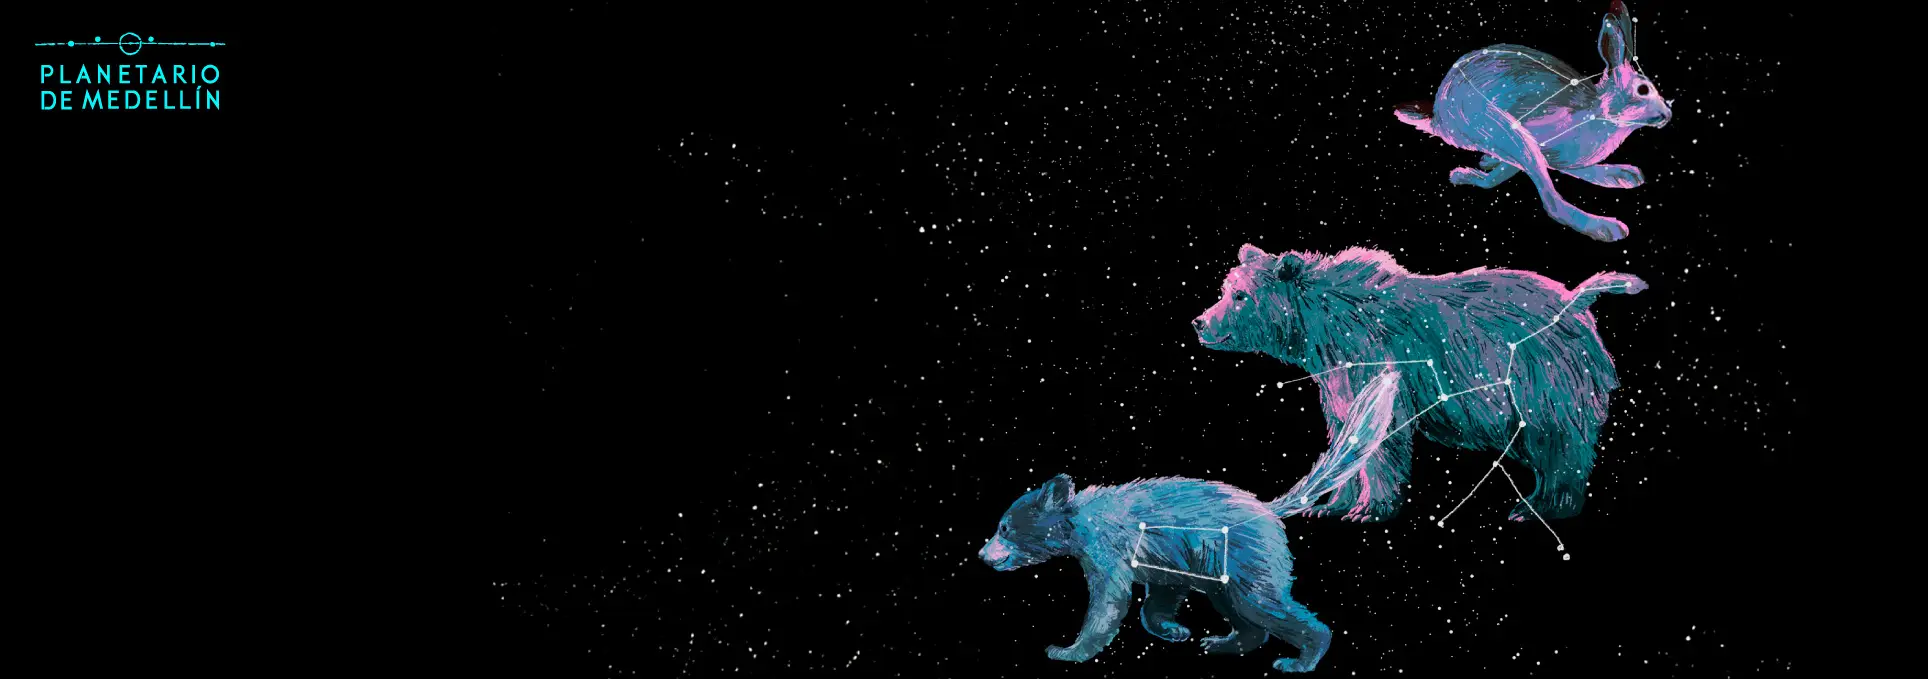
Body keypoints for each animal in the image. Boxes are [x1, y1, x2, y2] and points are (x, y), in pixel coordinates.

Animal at [978, 370, 1406, 673]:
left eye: (1004, 528)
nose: (983, 555)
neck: (1079, 521)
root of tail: (1267, 509)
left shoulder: (1108, 549)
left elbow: (1108, 600)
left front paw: (1066, 650)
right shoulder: (1167, 559)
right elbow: (1161, 594)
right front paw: (1174, 629)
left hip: (1248, 558)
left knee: (1264, 604)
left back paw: (1301, 659)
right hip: (1221, 568)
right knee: (1242, 612)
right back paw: (1222, 643)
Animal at [1191, 243, 1646, 522]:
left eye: (1239, 296)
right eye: (1225, 288)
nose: (1200, 322)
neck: (1319, 331)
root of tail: (1575, 300)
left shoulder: (1374, 358)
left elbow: (1383, 437)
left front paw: (1367, 509)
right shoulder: (1336, 379)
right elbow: (1347, 431)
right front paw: (1330, 505)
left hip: (1540, 375)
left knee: (1555, 439)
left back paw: (1539, 507)